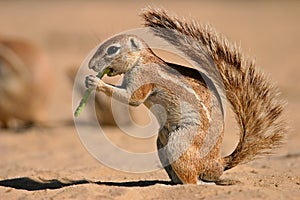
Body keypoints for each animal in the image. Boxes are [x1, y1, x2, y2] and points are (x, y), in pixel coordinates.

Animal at [84, 7, 286, 184]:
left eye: (112, 49)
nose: (91, 65)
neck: (142, 59)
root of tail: (218, 163)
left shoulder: (143, 78)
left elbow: (131, 99)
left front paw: (95, 82)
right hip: (161, 143)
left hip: (180, 143)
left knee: (193, 180)